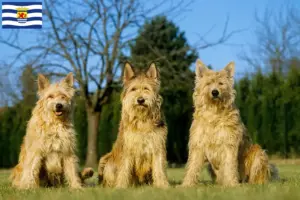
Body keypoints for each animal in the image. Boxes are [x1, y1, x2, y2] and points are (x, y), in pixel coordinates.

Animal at [179, 59, 278, 188]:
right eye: (208, 83)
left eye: (221, 83)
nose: (215, 92)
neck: (214, 113)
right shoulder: (198, 145)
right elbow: (192, 166)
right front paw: (186, 184)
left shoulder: (229, 144)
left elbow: (230, 165)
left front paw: (232, 184)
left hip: (259, 154)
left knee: (257, 176)